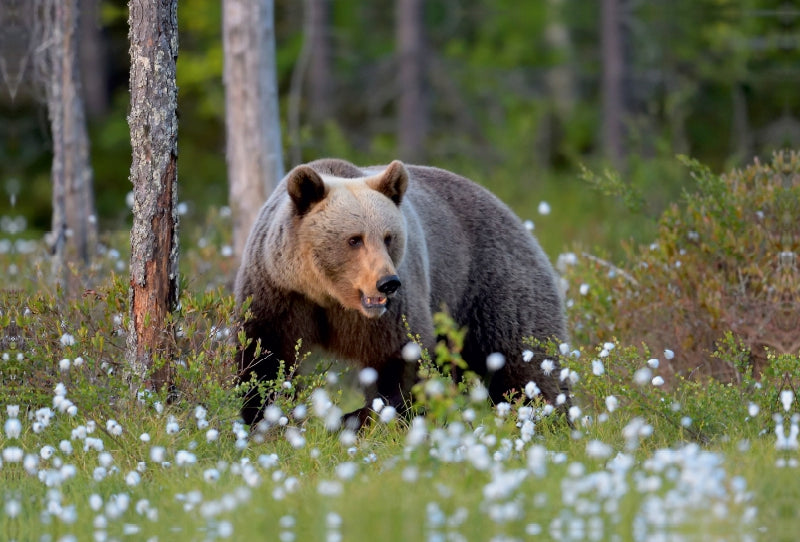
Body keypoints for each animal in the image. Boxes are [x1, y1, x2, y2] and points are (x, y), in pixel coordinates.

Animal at [233, 158, 568, 430]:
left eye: (388, 237)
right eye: (354, 239)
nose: (387, 283)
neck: (329, 296)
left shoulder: (392, 311)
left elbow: (400, 359)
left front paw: (368, 417)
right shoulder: (279, 293)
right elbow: (263, 357)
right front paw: (261, 418)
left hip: (491, 286)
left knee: (523, 363)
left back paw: (551, 419)